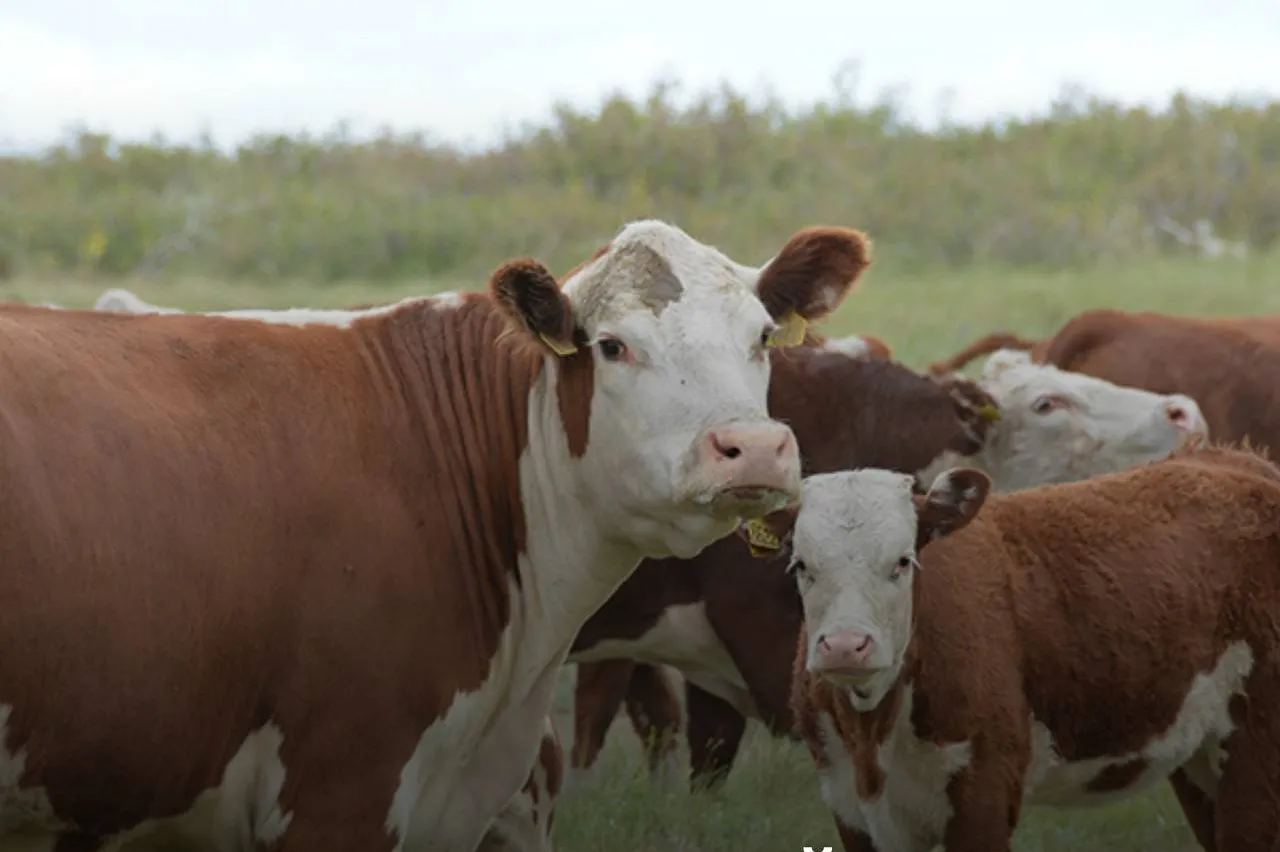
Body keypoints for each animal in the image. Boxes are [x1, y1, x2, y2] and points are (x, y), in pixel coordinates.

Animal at [757, 445, 1280, 849]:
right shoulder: (851, 808)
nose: (846, 646)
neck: (873, 734)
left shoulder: (984, 794)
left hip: (1257, 751)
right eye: (800, 564)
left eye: (902, 562)